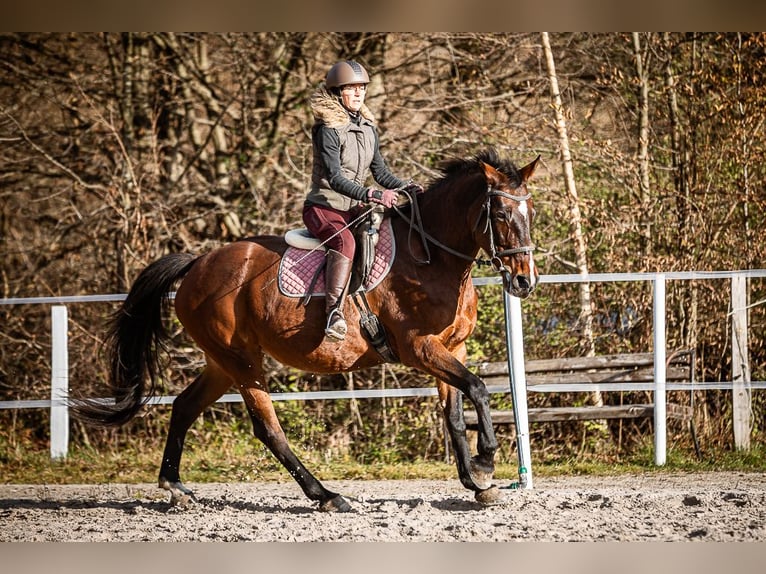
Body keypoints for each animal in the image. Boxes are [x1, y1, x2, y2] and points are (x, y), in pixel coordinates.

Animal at [72, 147, 540, 512]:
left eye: (530, 212)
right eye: (500, 213)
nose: (524, 282)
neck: (432, 257)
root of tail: (198, 263)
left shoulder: (452, 348)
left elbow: (455, 413)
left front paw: (476, 482)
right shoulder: (420, 348)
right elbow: (478, 388)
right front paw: (486, 461)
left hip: (221, 362)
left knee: (185, 407)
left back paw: (176, 487)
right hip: (242, 361)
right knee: (268, 429)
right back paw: (326, 495)